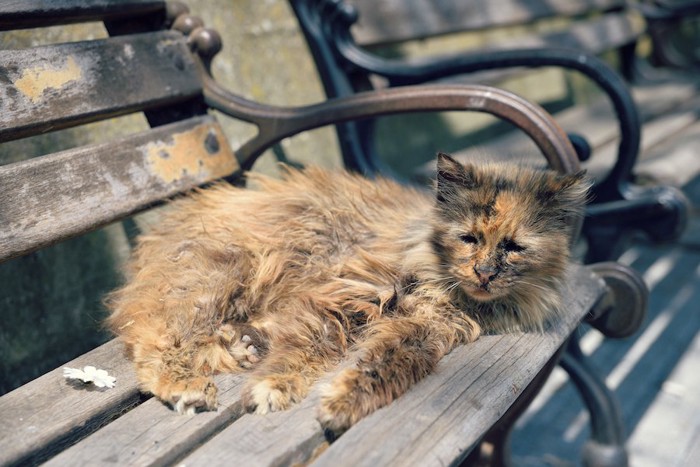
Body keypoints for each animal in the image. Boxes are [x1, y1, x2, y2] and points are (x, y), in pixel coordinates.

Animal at [105, 153, 584, 436]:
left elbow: (386, 367)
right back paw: (186, 386)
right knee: (156, 341)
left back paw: (245, 345)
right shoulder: (343, 296)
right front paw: (273, 386)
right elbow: (306, 350)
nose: (484, 273)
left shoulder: (424, 331)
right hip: (220, 277)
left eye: (514, 247)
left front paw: (341, 403)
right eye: (468, 238)